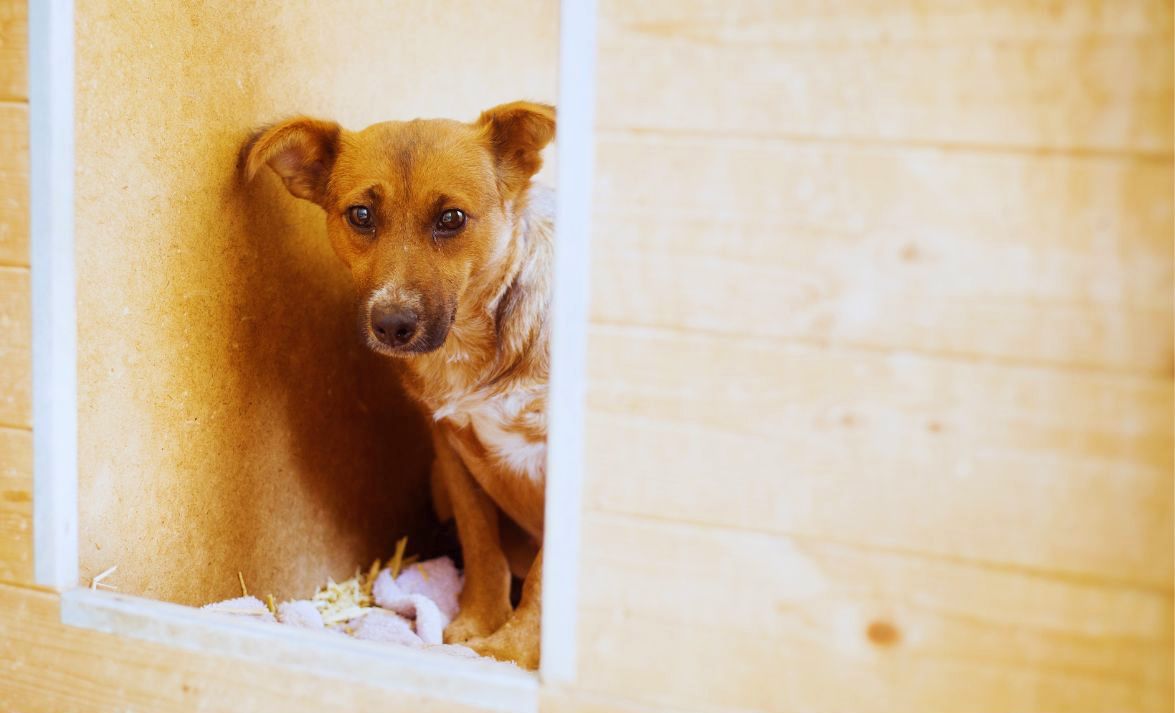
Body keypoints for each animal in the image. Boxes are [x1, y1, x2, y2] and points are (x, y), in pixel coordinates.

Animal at [243, 101, 555, 669]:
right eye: (361, 215)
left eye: (451, 219)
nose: (390, 324)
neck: (474, 345)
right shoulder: (451, 448)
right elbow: (481, 545)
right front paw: (477, 622)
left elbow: (545, 576)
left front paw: (510, 650)